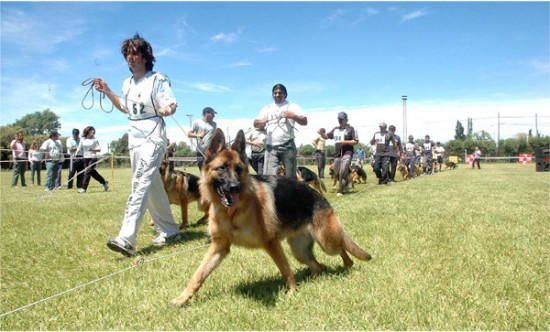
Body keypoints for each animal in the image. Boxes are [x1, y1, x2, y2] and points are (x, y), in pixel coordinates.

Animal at [172, 128, 374, 308]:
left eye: (239, 169)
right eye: (222, 168)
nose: (235, 187)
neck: (234, 212)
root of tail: (321, 198)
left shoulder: (271, 243)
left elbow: (285, 269)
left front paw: (292, 292)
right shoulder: (219, 247)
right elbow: (198, 274)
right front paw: (182, 298)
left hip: (327, 242)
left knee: (342, 249)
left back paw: (347, 266)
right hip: (300, 251)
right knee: (318, 266)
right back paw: (314, 279)